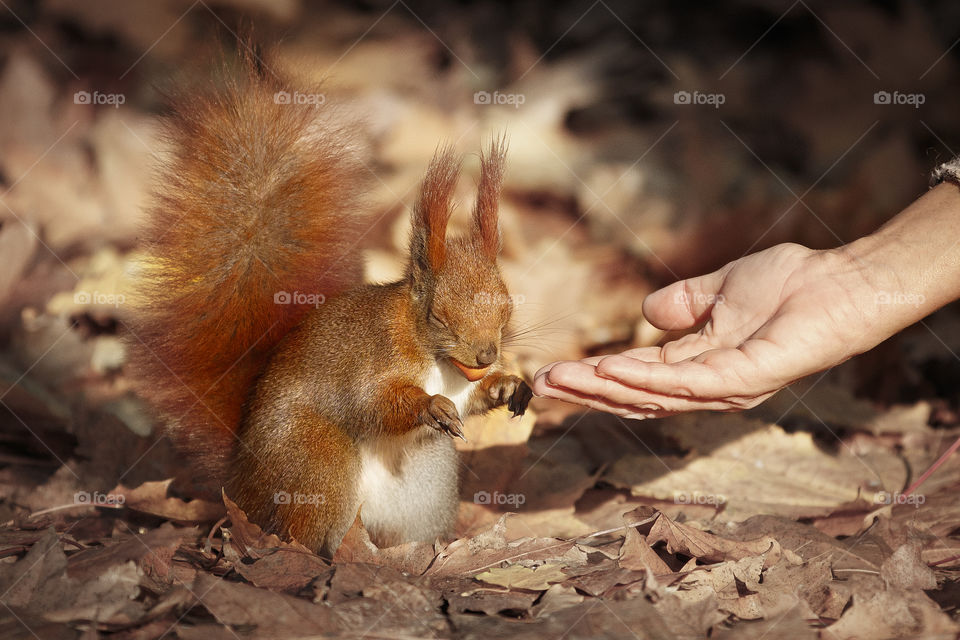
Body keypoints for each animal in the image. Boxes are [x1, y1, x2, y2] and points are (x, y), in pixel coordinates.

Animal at [128, 51, 532, 556]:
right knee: (301, 525)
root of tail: (239, 483)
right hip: (317, 458)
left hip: (426, 484)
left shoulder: (464, 386)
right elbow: (372, 402)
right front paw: (428, 407)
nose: (486, 355)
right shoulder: (375, 359)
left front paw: (509, 386)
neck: (438, 362)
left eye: (508, 310)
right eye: (439, 316)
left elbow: (476, 398)